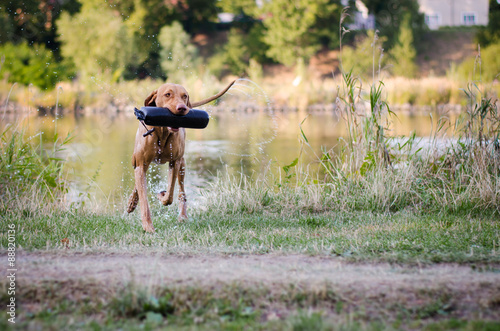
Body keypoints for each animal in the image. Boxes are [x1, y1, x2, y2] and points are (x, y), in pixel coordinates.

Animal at [125, 80, 234, 233]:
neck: (163, 132)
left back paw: (183, 216)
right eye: (167, 94)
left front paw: (161, 196)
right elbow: (144, 200)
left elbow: (170, 194)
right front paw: (148, 226)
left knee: (181, 192)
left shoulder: (175, 162)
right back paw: (132, 202)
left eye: (184, 96)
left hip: (182, 165)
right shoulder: (141, 163)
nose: (182, 108)